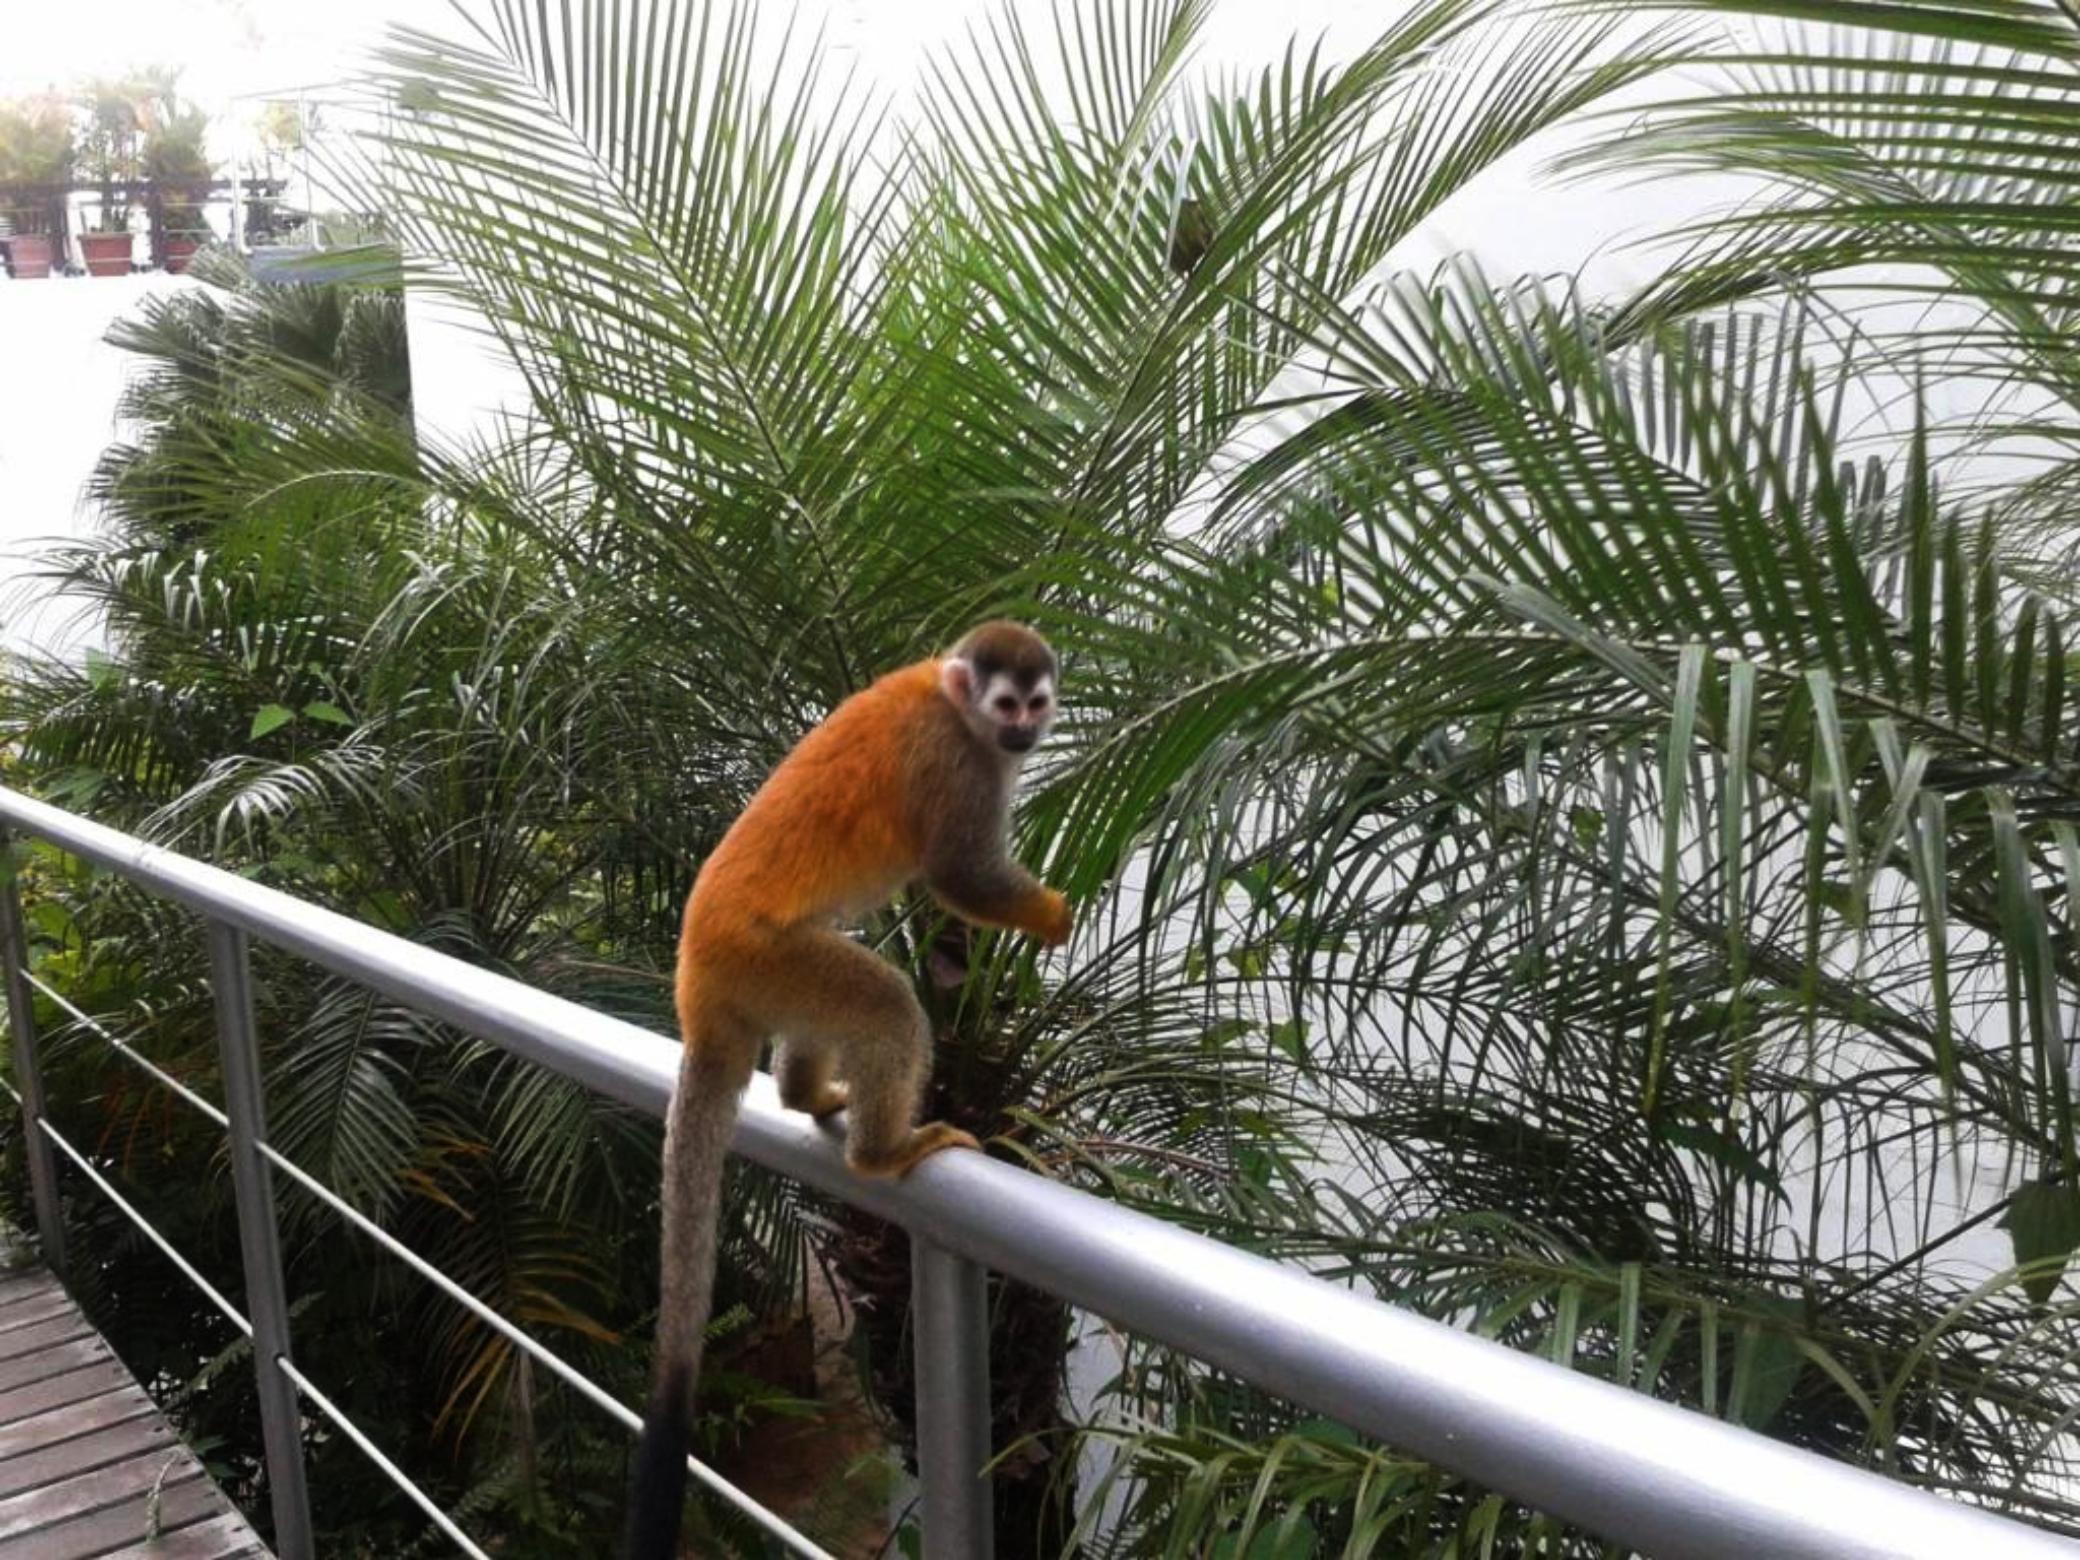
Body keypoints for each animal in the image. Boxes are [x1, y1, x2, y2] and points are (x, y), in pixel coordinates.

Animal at [619, 615, 1073, 1555]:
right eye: (1007, 706)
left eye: (1035, 703)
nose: (1023, 732)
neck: (955, 702)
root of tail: (694, 982)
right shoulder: (958, 762)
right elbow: (959, 875)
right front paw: (1048, 914)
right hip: (760, 958)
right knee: (886, 1001)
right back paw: (883, 1150)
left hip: (766, 977)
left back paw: (808, 1097)